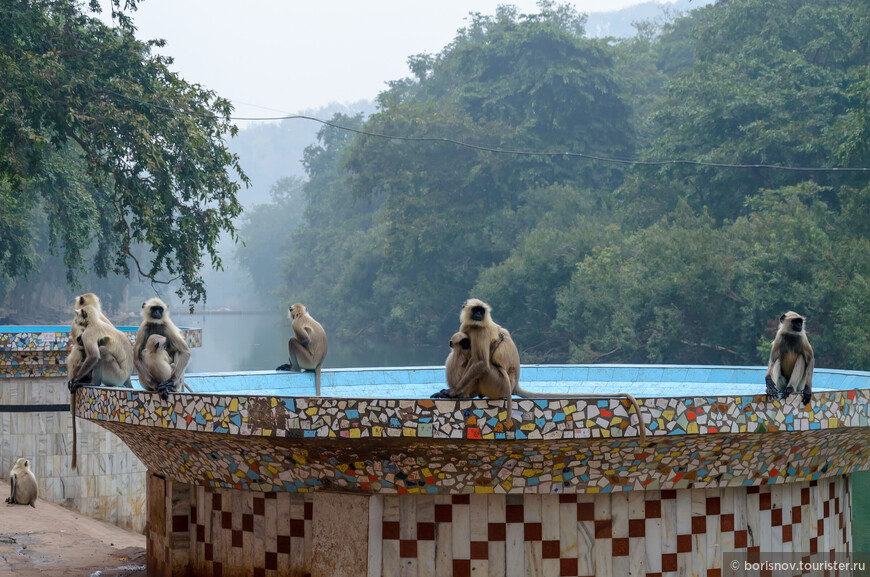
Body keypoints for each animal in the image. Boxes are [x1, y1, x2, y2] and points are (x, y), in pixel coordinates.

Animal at [68, 304, 134, 466]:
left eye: (77, 317)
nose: (75, 321)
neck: (94, 322)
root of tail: (125, 376)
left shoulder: (88, 334)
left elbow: (93, 356)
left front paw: (75, 381)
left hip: (115, 374)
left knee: (102, 351)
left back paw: (92, 382)